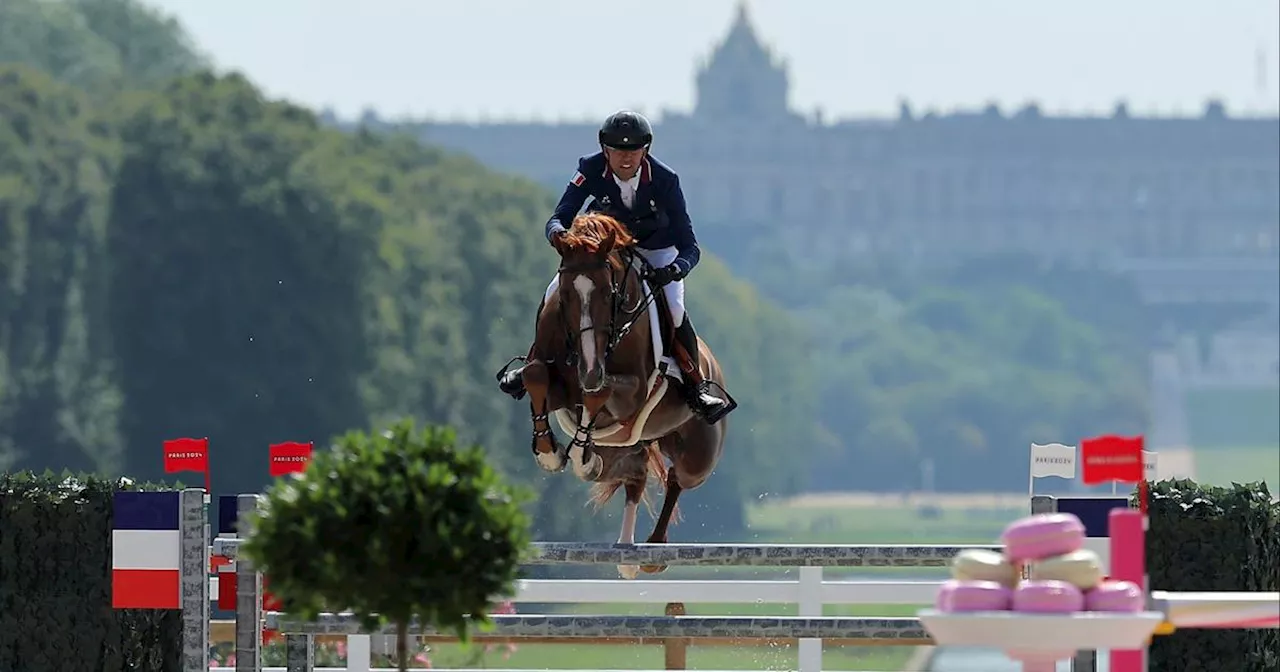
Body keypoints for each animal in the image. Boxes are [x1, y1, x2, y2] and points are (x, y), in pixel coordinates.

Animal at [514, 213, 727, 576]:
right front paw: (550, 451)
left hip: (697, 456)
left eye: (608, 292)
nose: (590, 370)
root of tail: (711, 362)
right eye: (566, 295)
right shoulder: (556, 382)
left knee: (676, 477)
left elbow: (600, 392)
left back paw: (654, 548)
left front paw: (577, 449)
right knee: (634, 476)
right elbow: (535, 375)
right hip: (625, 450)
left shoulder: (632, 392)